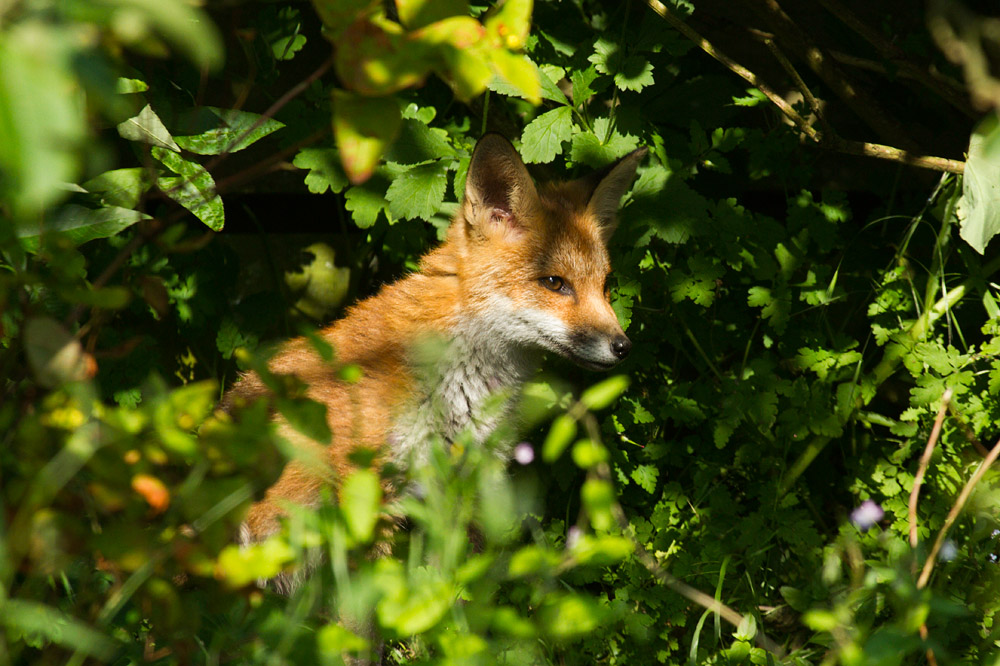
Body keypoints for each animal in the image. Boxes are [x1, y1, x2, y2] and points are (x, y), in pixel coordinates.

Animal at [222, 133, 644, 577]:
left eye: (605, 285)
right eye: (554, 283)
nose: (623, 347)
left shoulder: (467, 478)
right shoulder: (369, 488)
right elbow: (372, 590)